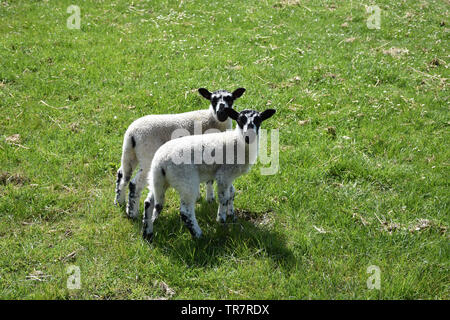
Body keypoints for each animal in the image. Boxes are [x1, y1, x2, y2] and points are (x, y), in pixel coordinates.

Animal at [114, 86, 244, 219]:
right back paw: (132, 213)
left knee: (122, 175)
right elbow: (209, 180)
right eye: (213, 100)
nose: (221, 113)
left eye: (230, 99)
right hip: (147, 156)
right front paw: (210, 198)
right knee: (134, 184)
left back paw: (120, 202)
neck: (212, 120)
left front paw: (202, 197)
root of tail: (132, 134)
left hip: (129, 153)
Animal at [142, 109, 276, 241]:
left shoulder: (229, 176)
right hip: (186, 180)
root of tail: (160, 161)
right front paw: (221, 220)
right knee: (185, 212)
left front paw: (231, 214)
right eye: (240, 120)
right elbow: (224, 198)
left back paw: (147, 233)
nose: (249, 136)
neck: (237, 142)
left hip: (158, 180)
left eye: (258, 120)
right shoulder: (224, 174)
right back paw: (198, 235)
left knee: (149, 202)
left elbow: (232, 193)